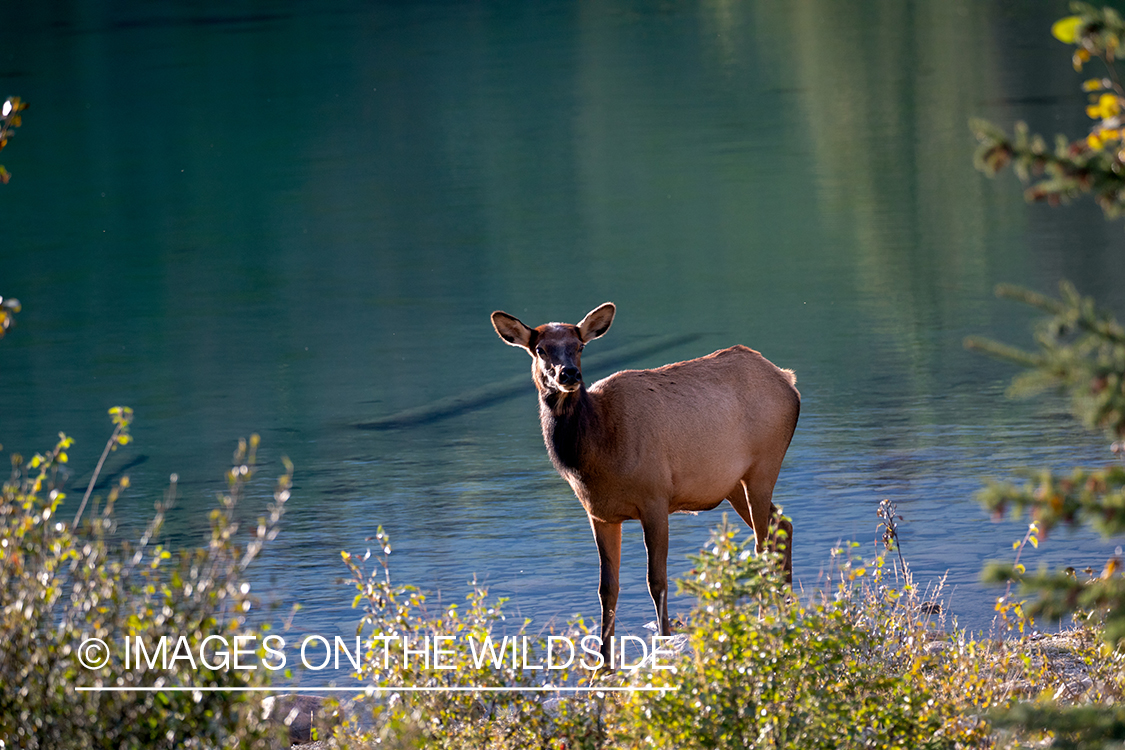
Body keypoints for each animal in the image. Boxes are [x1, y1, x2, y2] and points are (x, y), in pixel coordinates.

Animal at [492, 303, 801, 670]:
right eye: (540, 349)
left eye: (579, 345)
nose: (568, 375)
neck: (597, 453)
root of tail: (789, 381)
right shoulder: (599, 514)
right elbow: (607, 588)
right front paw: (602, 666)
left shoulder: (655, 499)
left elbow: (657, 580)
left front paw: (665, 647)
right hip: (732, 484)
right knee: (783, 525)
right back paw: (786, 609)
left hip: (763, 467)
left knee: (763, 544)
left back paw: (765, 619)